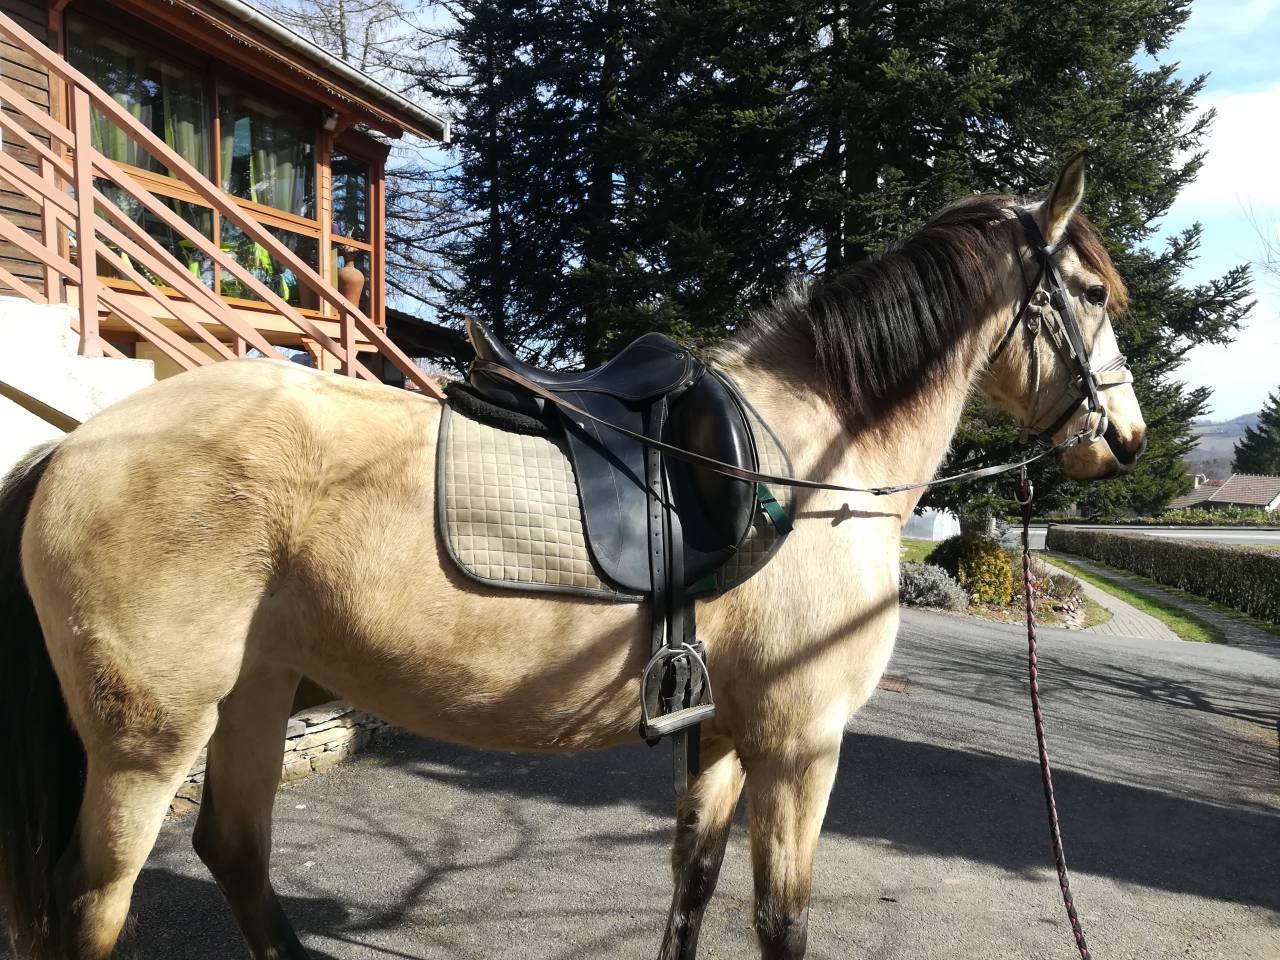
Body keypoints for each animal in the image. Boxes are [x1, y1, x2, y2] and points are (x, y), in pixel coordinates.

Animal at [0, 155, 1145, 960]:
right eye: (1089, 295)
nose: (1124, 439)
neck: (813, 457)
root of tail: (75, 444)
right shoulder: (800, 743)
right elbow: (781, 924)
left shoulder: (722, 736)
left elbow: (691, 887)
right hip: (149, 743)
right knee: (97, 904)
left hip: (254, 695)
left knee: (232, 853)